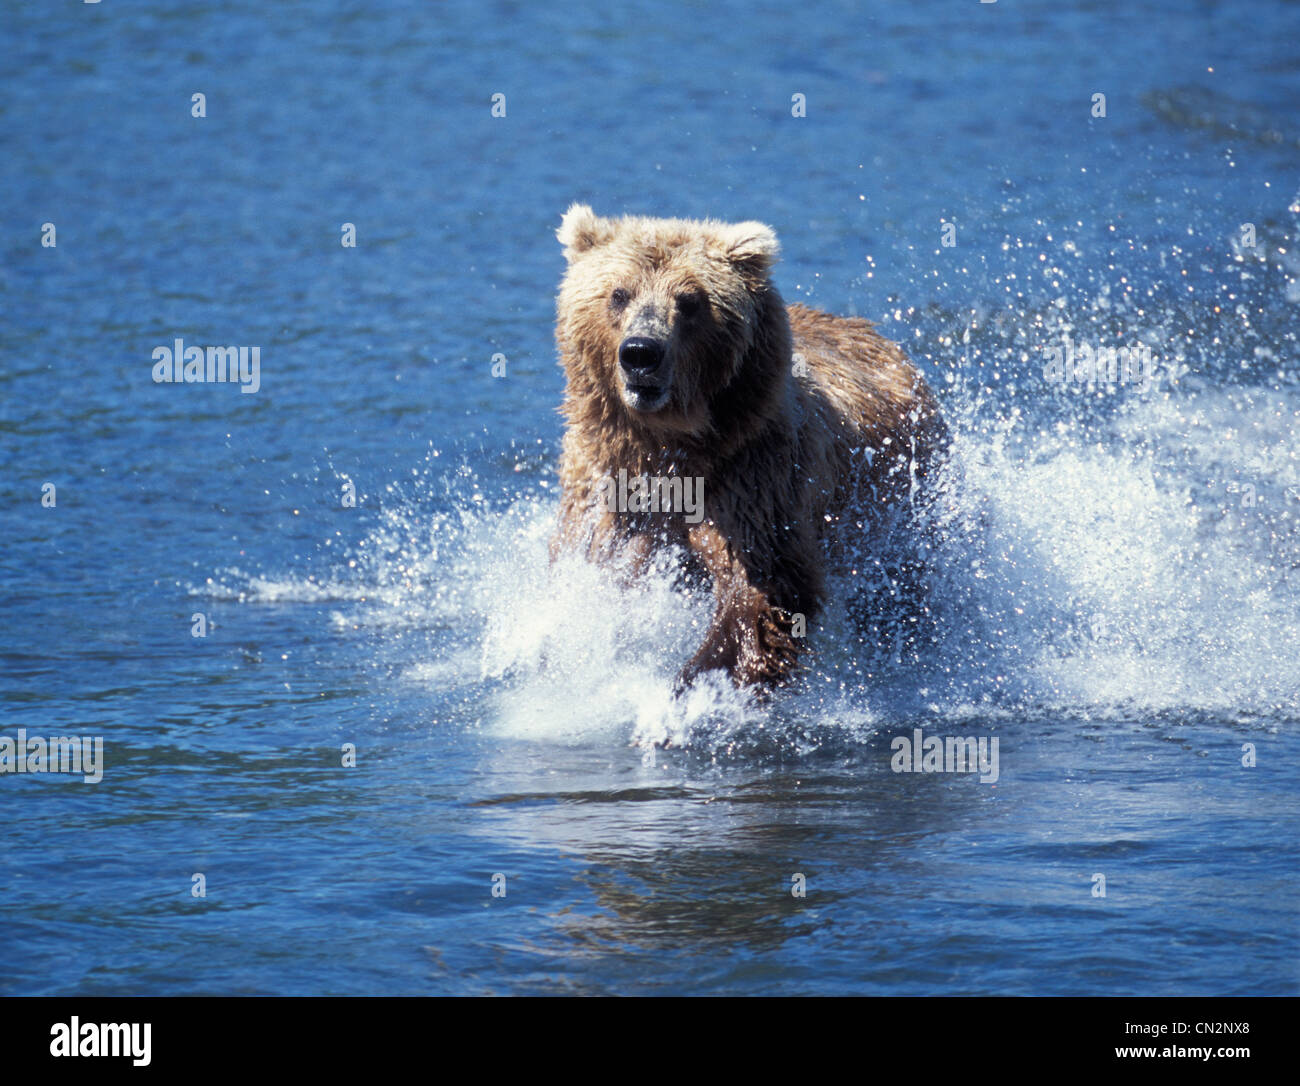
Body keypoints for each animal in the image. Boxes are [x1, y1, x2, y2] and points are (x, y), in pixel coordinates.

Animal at [550, 204, 949, 691]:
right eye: (619, 293)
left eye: (689, 301)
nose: (641, 353)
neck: (671, 445)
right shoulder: (608, 485)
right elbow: (599, 569)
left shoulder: (751, 474)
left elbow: (762, 589)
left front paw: (690, 686)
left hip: (898, 507)